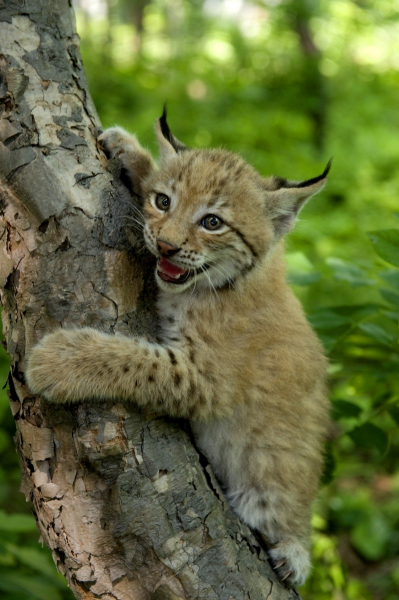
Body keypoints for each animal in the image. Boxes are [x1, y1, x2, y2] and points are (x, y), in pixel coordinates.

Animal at [25, 111, 332, 584]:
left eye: (212, 223)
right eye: (163, 201)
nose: (166, 246)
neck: (213, 286)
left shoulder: (210, 379)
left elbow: (136, 360)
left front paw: (57, 361)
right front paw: (132, 153)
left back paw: (293, 553)